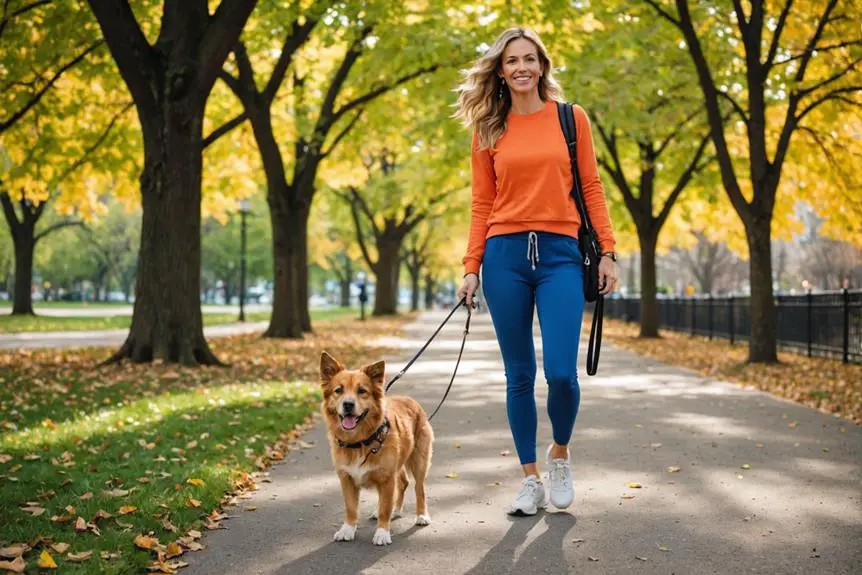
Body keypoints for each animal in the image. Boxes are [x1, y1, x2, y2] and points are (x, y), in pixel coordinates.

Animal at [320, 348, 436, 548]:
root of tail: (411, 401)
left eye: (362, 391)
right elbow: (351, 508)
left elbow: (384, 508)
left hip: (419, 461)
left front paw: (382, 533)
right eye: (338, 391)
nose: (348, 404)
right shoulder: (347, 479)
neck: (359, 442)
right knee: (403, 483)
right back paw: (395, 510)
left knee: (418, 488)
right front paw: (348, 529)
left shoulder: (387, 479)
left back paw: (421, 515)